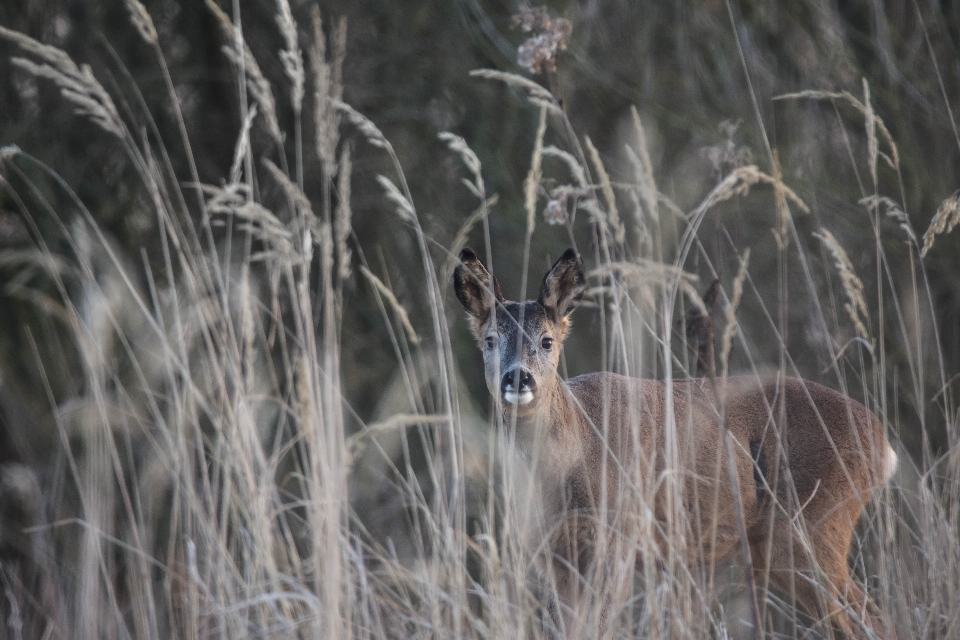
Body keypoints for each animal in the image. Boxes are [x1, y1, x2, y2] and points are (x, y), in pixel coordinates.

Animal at [454, 248, 896, 640]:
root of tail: (883, 445)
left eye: (547, 341)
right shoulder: (551, 555)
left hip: (813, 530)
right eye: (490, 340)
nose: (517, 378)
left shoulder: (617, 540)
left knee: (871, 620)